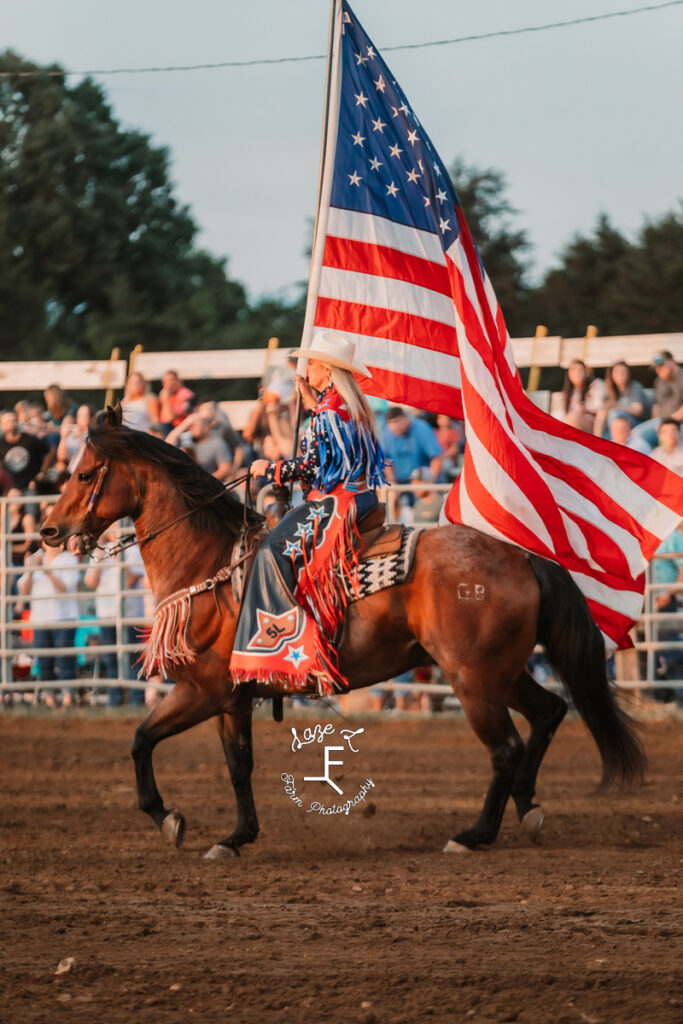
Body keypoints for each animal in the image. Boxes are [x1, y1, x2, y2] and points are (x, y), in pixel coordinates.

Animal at [40, 405, 643, 856]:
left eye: (85, 473)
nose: (49, 529)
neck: (209, 565)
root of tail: (522, 558)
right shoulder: (233, 698)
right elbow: (236, 765)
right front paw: (236, 837)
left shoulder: (204, 690)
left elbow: (144, 740)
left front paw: (169, 819)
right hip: (501, 673)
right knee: (549, 713)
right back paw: (528, 807)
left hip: (473, 679)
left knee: (507, 747)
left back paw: (474, 834)